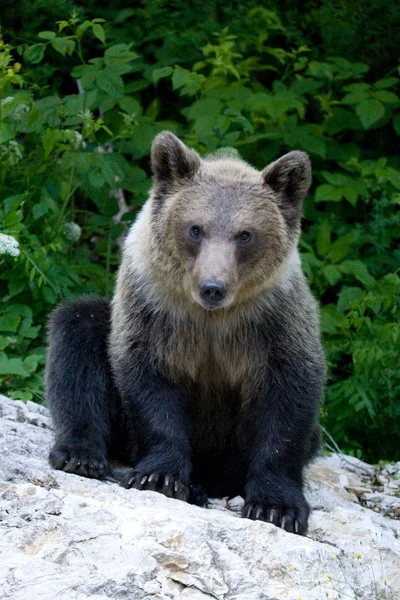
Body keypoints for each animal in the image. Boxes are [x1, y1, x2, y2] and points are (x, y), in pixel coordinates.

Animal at [46, 131, 324, 536]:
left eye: (245, 235)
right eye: (196, 228)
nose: (213, 287)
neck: (210, 318)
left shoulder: (273, 322)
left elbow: (287, 400)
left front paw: (277, 506)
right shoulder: (154, 311)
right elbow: (150, 385)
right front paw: (160, 477)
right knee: (76, 334)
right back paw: (81, 454)